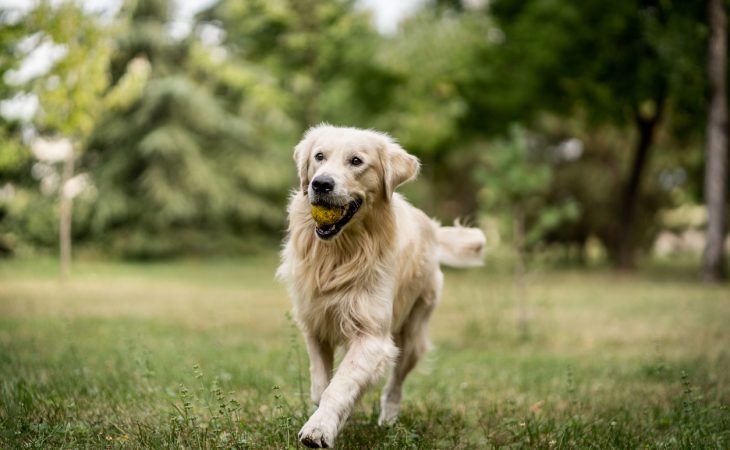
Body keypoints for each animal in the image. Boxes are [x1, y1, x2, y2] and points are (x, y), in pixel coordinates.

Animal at [278, 125, 484, 448]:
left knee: (396, 383)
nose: (320, 183)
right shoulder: (315, 324)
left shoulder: (372, 336)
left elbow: (339, 385)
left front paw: (319, 429)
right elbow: (322, 385)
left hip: (411, 334)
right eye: (319, 156)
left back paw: (388, 419)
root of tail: (431, 226)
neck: (341, 254)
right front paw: (330, 417)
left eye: (356, 161)